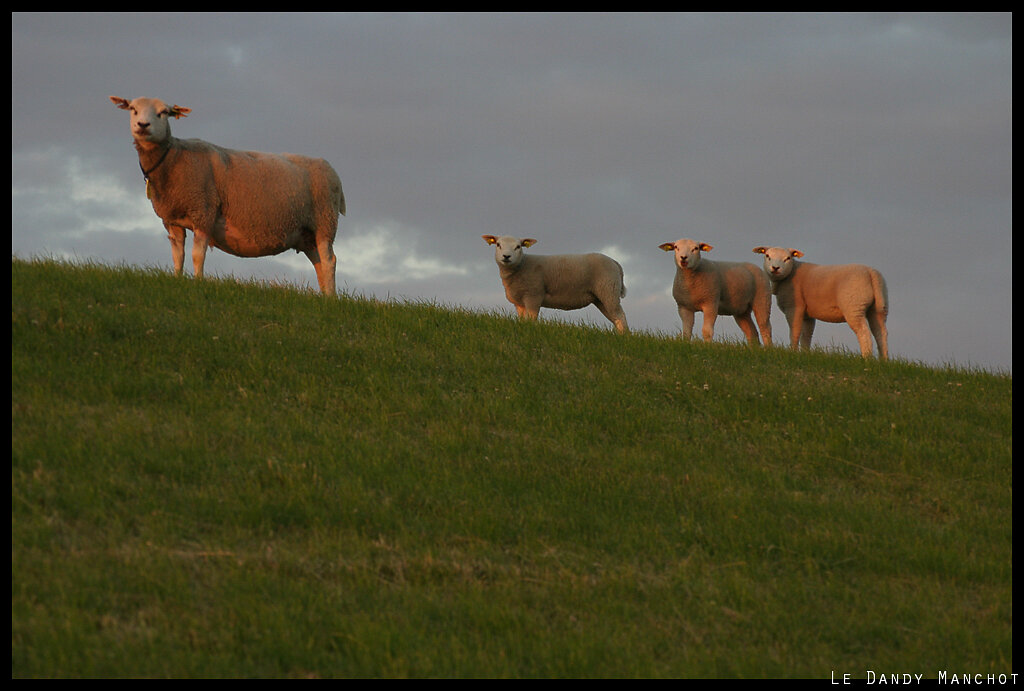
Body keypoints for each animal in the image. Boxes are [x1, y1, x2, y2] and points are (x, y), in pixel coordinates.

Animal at [110, 95, 346, 294]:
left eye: (163, 112)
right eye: (133, 110)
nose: (143, 125)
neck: (173, 157)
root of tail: (331, 169)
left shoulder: (203, 210)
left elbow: (197, 254)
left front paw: (198, 282)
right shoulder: (172, 220)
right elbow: (178, 255)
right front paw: (177, 280)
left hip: (324, 221)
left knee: (329, 261)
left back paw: (331, 299)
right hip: (306, 233)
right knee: (318, 263)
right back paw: (324, 296)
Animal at [481, 236, 630, 333]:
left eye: (518, 247)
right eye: (498, 244)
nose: (506, 256)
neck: (522, 265)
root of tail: (615, 263)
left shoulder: (533, 296)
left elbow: (532, 319)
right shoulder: (520, 303)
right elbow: (523, 320)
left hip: (609, 290)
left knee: (620, 316)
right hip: (601, 298)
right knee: (615, 319)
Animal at [753, 245, 888, 360]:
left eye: (788, 258)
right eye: (767, 256)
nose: (775, 268)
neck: (790, 274)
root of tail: (871, 273)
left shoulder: (794, 307)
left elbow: (795, 331)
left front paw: (793, 352)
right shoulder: (807, 315)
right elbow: (806, 335)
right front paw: (805, 353)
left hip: (854, 306)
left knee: (864, 332)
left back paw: (866, 358)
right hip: (879, 308)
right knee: (880, 333)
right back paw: (884, 360)